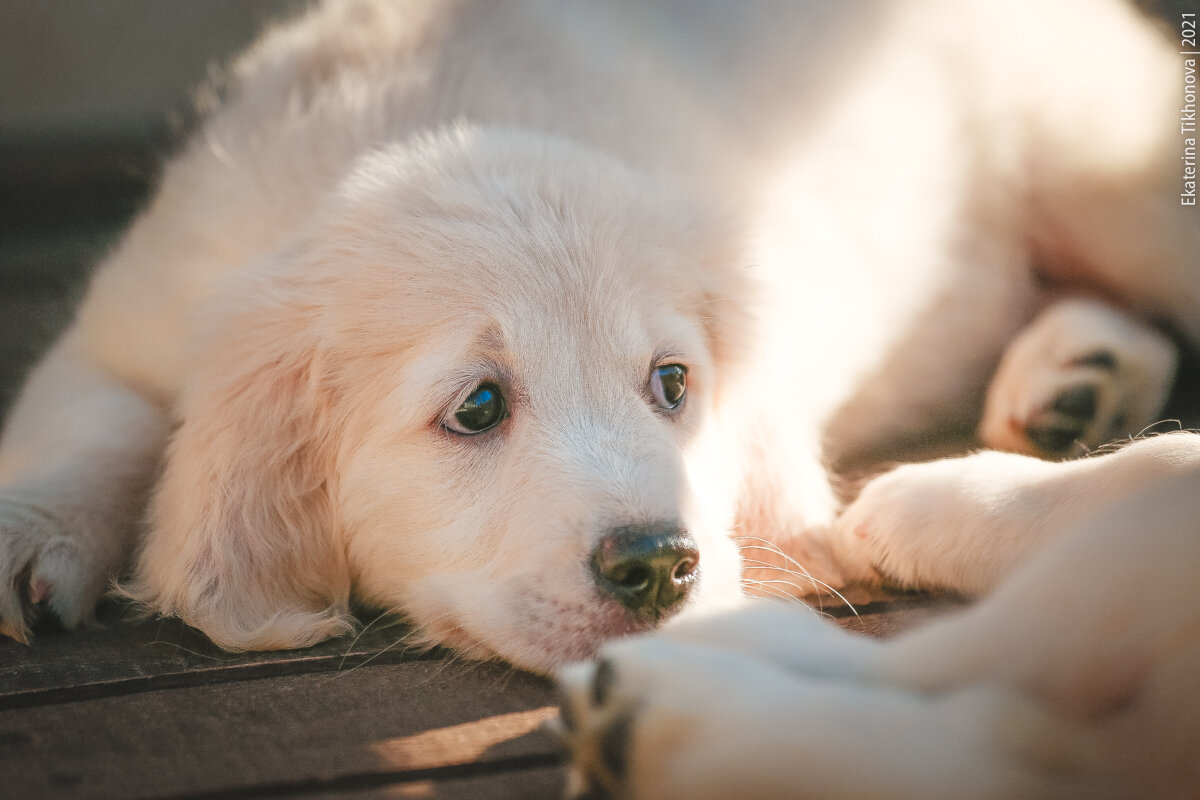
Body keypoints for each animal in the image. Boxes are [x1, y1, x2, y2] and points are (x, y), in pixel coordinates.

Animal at [0, 0, 1195, 700]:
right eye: (478, 406)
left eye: (673, 384)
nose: (659, 565)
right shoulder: (135, 317)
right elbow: (92, 419)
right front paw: (30, 530)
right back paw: (1078, 378)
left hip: (1105, 172)